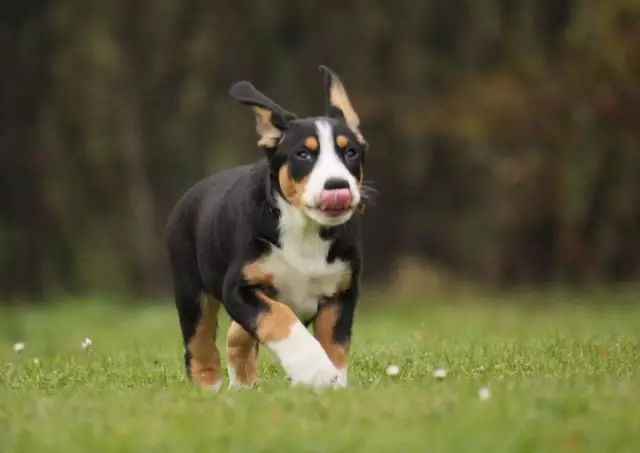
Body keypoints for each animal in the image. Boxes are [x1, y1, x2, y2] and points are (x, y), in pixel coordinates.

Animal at [165, 65, 368, 390]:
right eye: (303, 154)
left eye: (350, 153)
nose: (337, 186)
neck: (305, 231)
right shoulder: (239, 288)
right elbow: (279, 318)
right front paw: (315, 370)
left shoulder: (340, 293)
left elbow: (335, 343)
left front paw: (333, 381)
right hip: (191, 289)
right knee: (199, 345)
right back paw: (209, 388)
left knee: (236, 336)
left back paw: (244, 386)